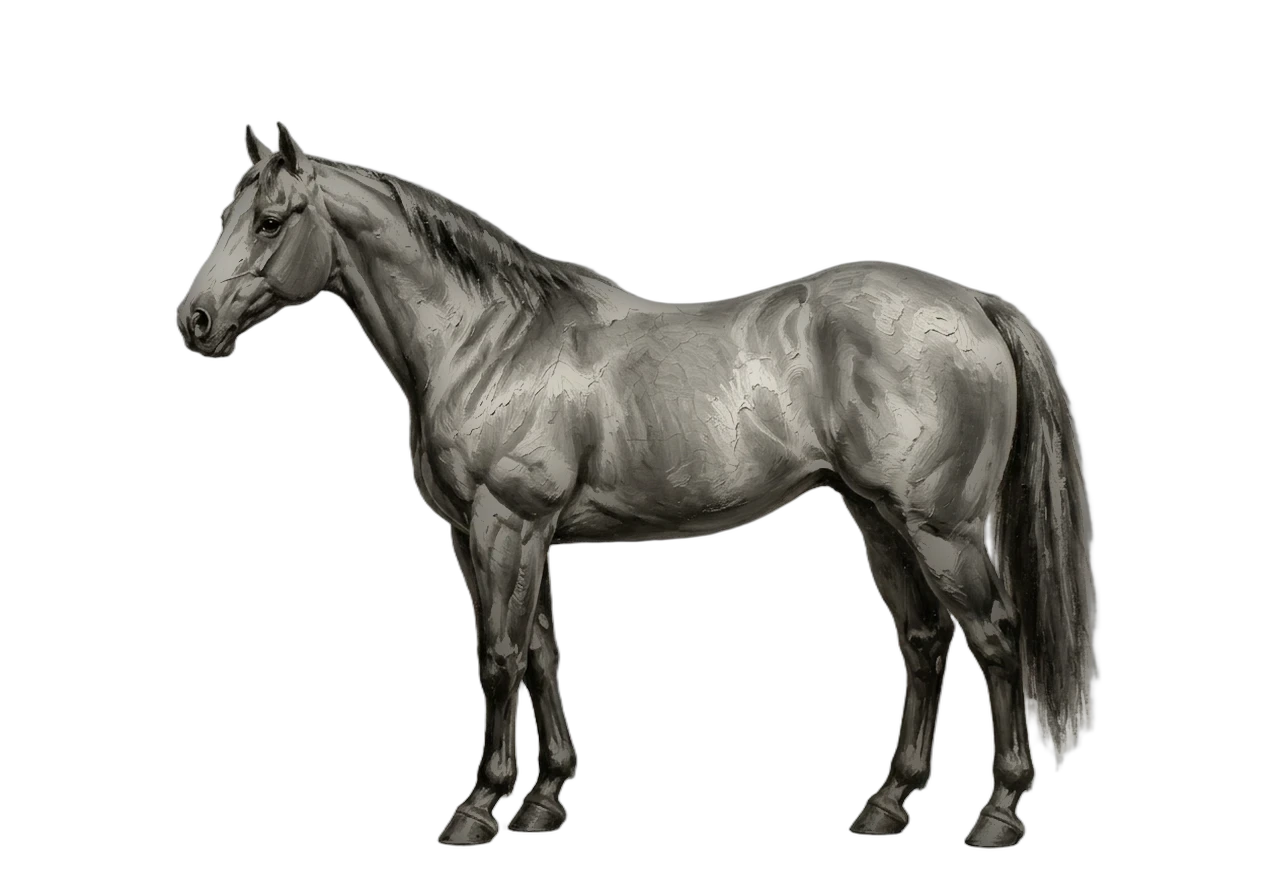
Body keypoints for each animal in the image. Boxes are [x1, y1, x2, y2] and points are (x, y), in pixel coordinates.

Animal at [176, 124, 1091, 848]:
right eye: (226, 214)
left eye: (270, 220)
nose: (196, 321)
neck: (490, 341)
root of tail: (974, 306)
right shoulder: (504, 534)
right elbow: (541, 654)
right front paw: (543, 801)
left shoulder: (506, 524)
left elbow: (500, 657)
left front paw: (476, 810)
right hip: (879, 516)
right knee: (925, 642)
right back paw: (886, 805)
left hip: (943, 526)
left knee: (996, 639)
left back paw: (997, 817)